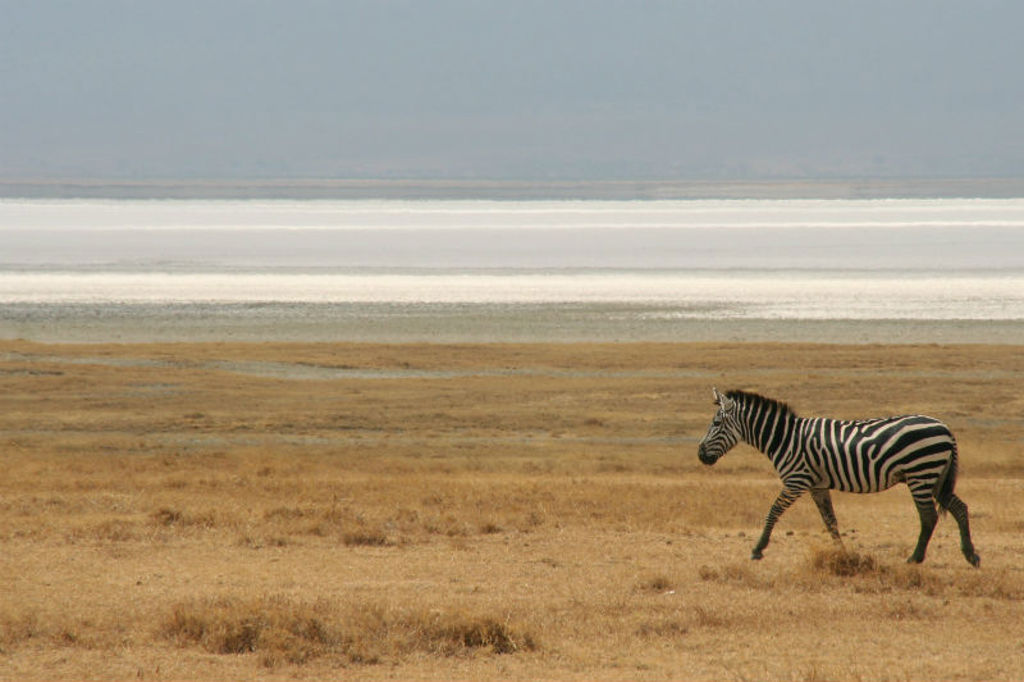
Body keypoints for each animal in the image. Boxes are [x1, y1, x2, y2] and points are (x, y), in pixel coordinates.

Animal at [697, 388, 980, 567]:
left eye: (716, 423)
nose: (700, 454)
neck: (783, 438)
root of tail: (945, 428)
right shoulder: (817, 485)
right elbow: (830, 520)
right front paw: (843, 554)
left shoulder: (796, 480)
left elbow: (773, 511)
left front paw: (758, 549)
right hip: (935, 476)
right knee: (959, 507)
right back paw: (970, 555)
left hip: (921, 473)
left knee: (929, 516)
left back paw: (915, 558)